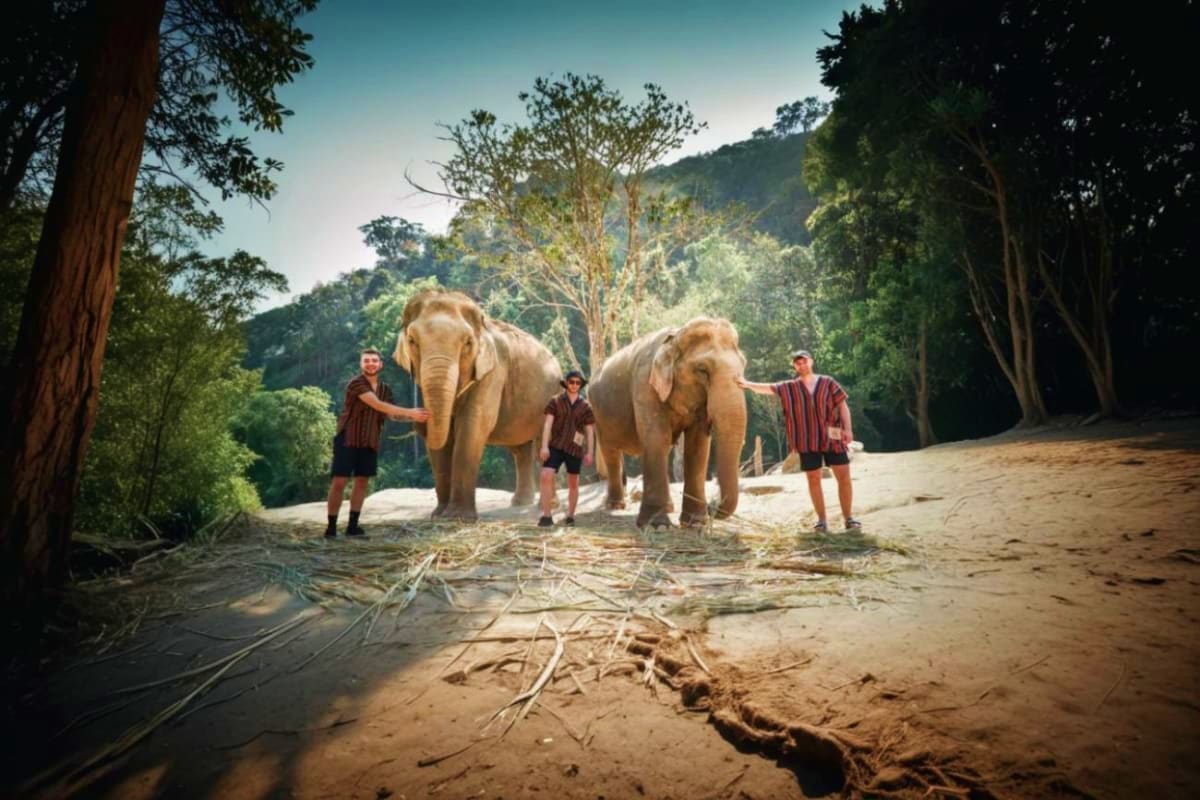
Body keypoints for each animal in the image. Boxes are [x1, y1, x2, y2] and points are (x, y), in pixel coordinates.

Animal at [393, 289, 562, 520]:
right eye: (412, 340)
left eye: (467, 343)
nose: (418, 422)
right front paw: (438, 515)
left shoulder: (494, 371)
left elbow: (473, 425)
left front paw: (457, 517)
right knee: (520, 449)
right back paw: (520, 502)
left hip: (553, 395)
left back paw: (547, 506)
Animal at [589, 317, 748, 528]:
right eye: (702, 370)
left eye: (743, 366)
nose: (712, 505)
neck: (674, 337)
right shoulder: (645, 384)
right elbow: (657, 439)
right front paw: (657, 525)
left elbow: (697, 447)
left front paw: (695, 523)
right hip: (599, 414)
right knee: (611, 453)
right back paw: (616, 506)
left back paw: (668, 508)